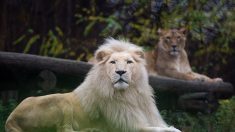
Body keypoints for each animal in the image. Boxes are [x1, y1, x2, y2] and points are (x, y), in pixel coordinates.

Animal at [5, 38, 182, 131]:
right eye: (112, 62)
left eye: (129, 62)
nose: (120, 72)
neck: (130, 94)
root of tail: (10, 119)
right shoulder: (131, 126)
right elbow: (163, 130)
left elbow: (163, 127)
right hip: (61, 102)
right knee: (64, 129)